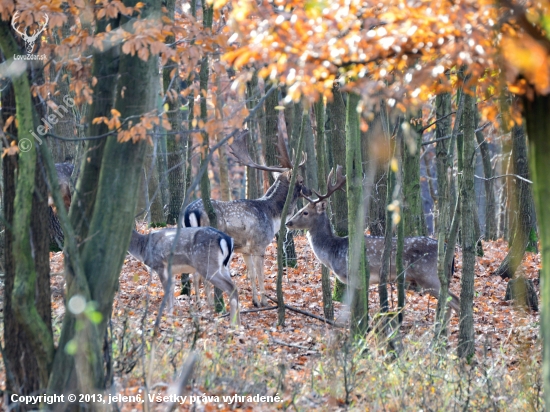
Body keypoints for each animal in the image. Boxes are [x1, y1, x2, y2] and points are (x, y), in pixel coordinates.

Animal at [185, 130, 310, 308]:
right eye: (301, 180)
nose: (309, 191)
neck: (272, 215)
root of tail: (190, 211)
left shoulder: (245, 250)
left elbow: (251, 275)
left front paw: (255, 301)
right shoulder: (259, 245)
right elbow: (260, 274)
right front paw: (265, 301)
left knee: (194, 274)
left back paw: (198, 305)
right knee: (202, 275)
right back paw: (209, 305)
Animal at [286, 166, 464, 320]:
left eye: (305, 212)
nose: (288, 223)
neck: (332, 252)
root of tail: (449, 250)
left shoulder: (355, 276)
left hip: (428, 275)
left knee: (454, 302)